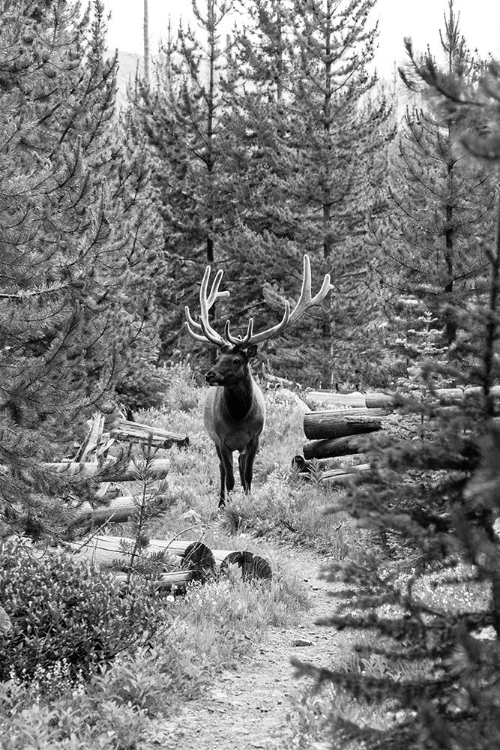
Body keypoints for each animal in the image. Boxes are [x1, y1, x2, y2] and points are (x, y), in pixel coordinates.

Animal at [184, 256, 332, 508]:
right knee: (222, 470)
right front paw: (228, 507)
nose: (210, 375)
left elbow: (248, 475)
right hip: (214, 439)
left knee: (240, 466)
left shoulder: (254, 438)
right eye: (218, 357)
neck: (238, 417)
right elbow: (230, 477)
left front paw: (248, 501)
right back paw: (220, 502)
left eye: (236, 360)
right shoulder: (222, 440)